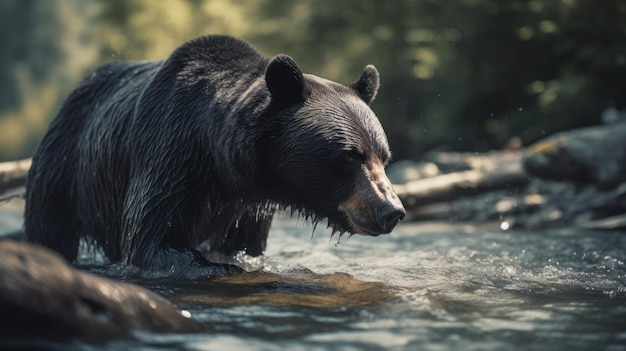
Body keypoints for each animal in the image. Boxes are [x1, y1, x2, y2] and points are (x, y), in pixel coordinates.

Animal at [24, 35, 404, 278]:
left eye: (383, 156)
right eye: (349, 156)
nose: (392, 211)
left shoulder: (246, 207)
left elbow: (244, 245)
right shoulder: (168, 152)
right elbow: (148, 237)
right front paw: (220, 267)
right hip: (64, 166)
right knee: (49, 228)